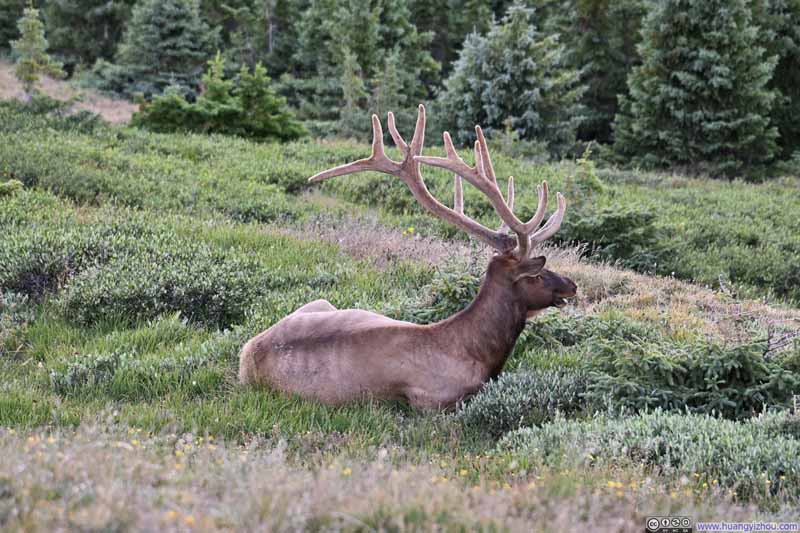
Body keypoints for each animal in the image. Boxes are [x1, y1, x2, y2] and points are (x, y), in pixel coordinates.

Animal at [238, 104, 577, 409]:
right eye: (537, 274)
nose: (572, 285)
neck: (477, 355)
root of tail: (246, 353)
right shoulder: (431, 403)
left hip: (320, 303)